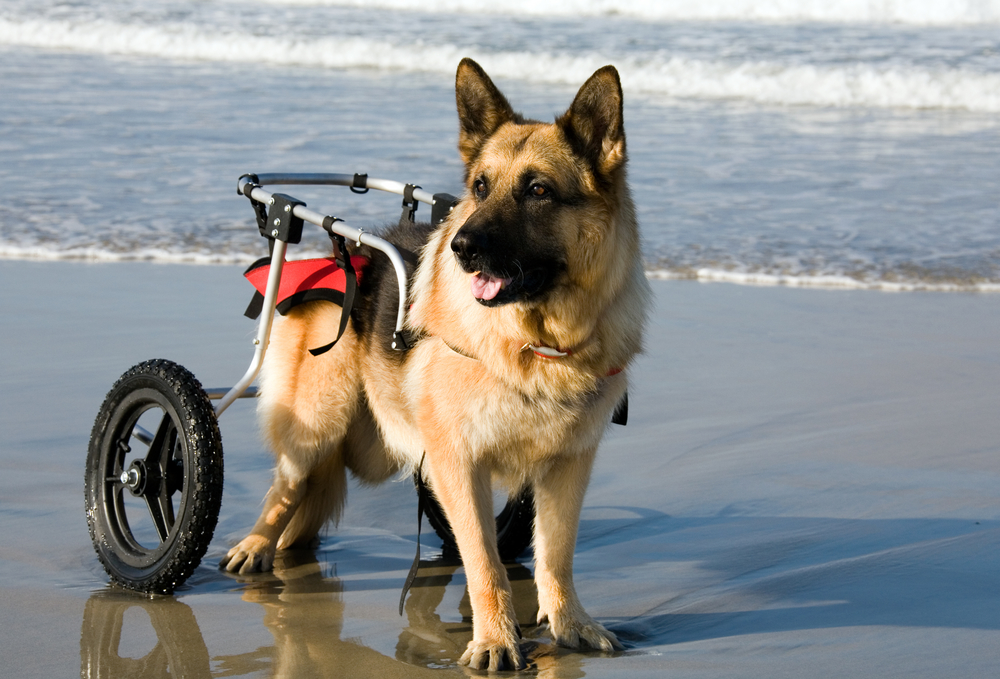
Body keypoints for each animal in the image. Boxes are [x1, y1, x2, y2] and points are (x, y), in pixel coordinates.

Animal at [221, 59, 648, 676]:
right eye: (480, 188)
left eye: (538, 191)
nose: (462, 248)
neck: (534, 344)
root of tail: (338, 253)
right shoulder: (460, 462)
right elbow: (486, 565)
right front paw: (495, 640)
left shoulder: (566, 467)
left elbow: (555, 556)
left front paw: (569, 625)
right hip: (316, 426)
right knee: (285, 487)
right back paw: (255, 546)